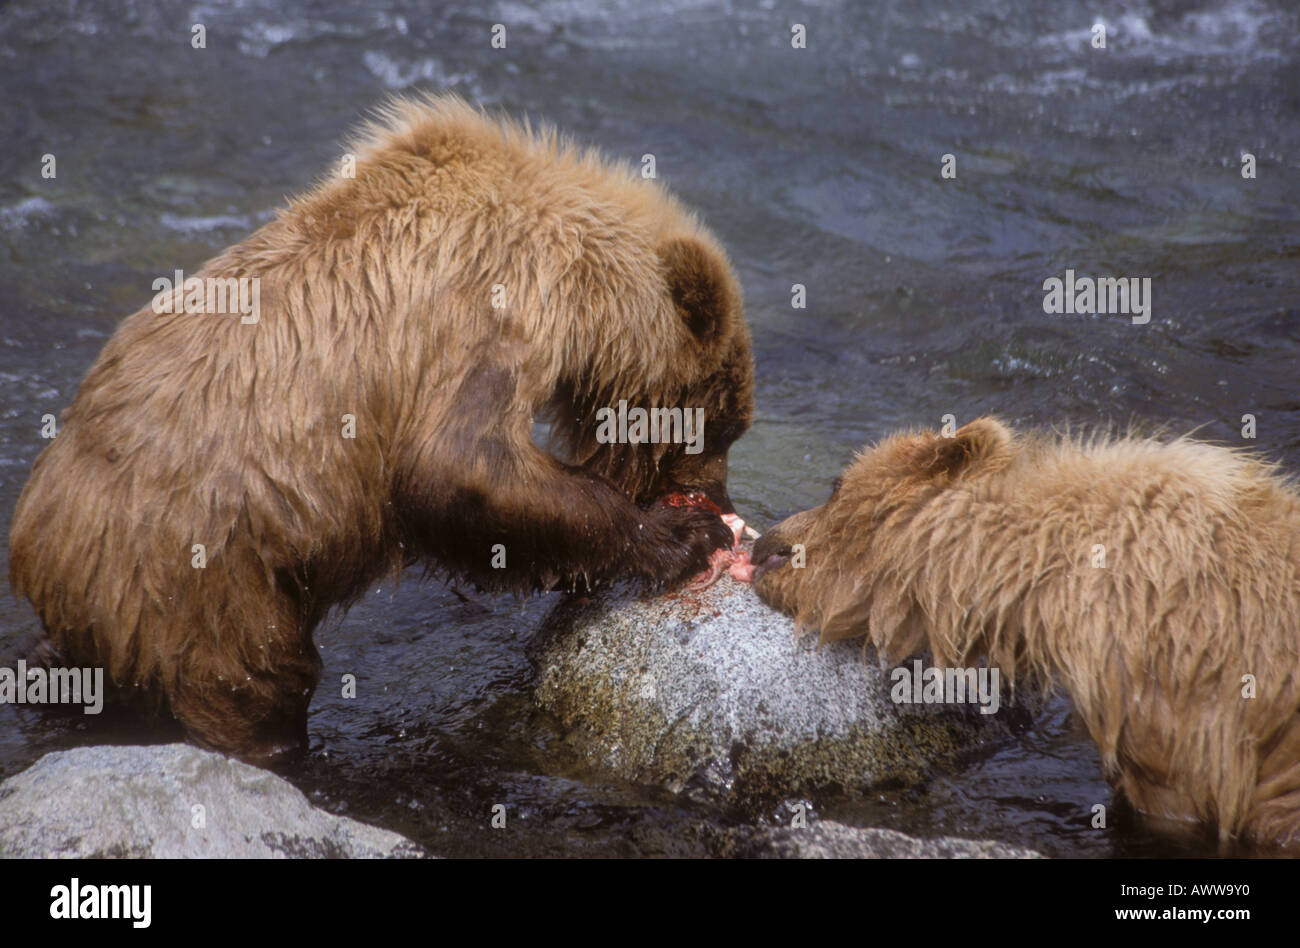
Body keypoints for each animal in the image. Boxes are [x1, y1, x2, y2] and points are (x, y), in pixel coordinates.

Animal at [10, 94, 759, 759]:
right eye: (722, 425)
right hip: (203, 584)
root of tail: (37, 536)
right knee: (254, 685)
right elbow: (458, 465)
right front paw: (676, 535)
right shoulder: (493, 300)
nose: (722, 498)